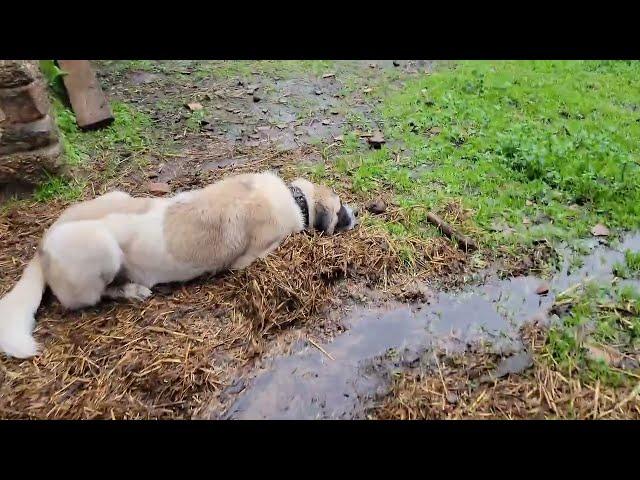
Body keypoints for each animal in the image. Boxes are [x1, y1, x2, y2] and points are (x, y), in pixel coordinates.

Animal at [0, 171, 358, 358]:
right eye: (341, 209)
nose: (357, 213)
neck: (296, 199)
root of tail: (44, 241)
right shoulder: (253, 256)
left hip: (116, 195)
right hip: (102, 249)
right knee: (91, 298)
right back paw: (131, 290)